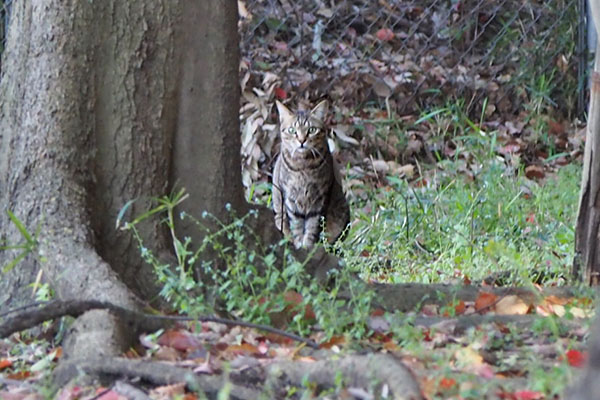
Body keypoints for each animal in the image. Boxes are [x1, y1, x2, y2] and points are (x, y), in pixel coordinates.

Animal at [270, 100, 350, 248]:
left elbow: (313, 226)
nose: (302, 140)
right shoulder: (290, 197)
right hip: (279, 215)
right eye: (292, 130)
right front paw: (299, 244)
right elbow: (296, 225)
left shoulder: (321, 197)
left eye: (312, 130)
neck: (303, 166)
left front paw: (308, 247)